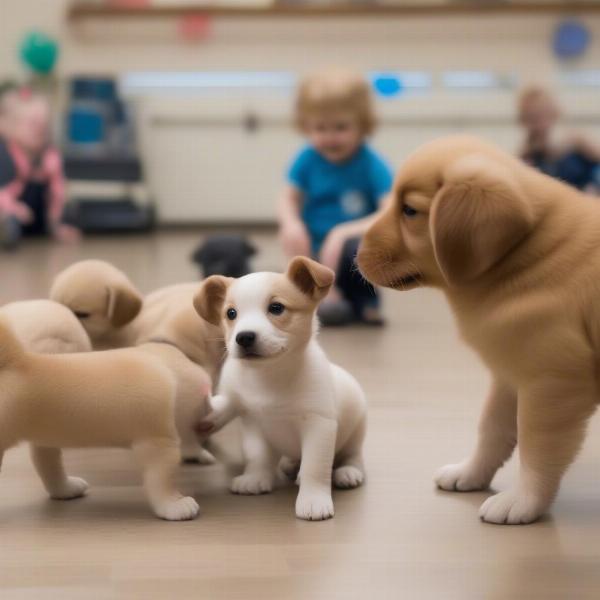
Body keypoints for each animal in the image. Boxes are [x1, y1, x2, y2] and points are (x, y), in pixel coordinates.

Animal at [0, 318, 210, 520]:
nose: (208, 409)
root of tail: (17, 362)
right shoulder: (159, 443)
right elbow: (161, 478)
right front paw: (173, 505)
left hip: (46, 435)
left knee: (48, 464)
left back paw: (66, 489)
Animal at [195, 256, 368, 520]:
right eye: (231, 313)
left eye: (276, 308)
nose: (244, 337)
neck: (268, 375)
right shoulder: (253, 423)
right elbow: (257, 457)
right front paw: (256, 478)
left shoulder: (319, 426)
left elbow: (315, 467)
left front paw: (313, 499)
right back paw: (289, 464)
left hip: (356, 433)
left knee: (352, 455)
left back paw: (348, 471)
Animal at [358, 135, 600, 524]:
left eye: (409, 210)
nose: (354, 252)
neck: (527, 257)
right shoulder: (509, 374)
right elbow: (492, 428)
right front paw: (470, 473)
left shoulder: (554, 383)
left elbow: (537, 446)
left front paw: (523, 501)